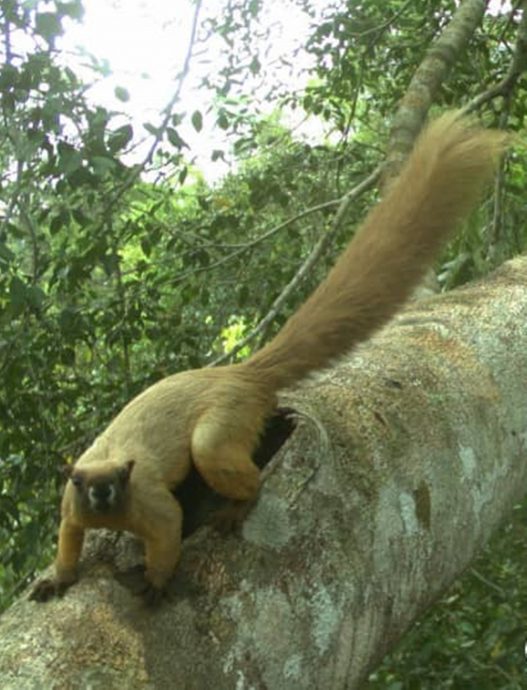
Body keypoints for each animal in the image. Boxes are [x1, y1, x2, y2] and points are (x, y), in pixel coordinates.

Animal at [31, 111, 510, 600]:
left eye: (115, 482)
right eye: (87, 484)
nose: (102, 495)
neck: (113, 511)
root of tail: (242, 372)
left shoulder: (148, 500)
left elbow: (169, 527)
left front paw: (155, 585)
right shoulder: (71, 506)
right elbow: (69, 538)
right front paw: (58, 579)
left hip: (227, 415)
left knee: (218, 455)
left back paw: (238, 505)